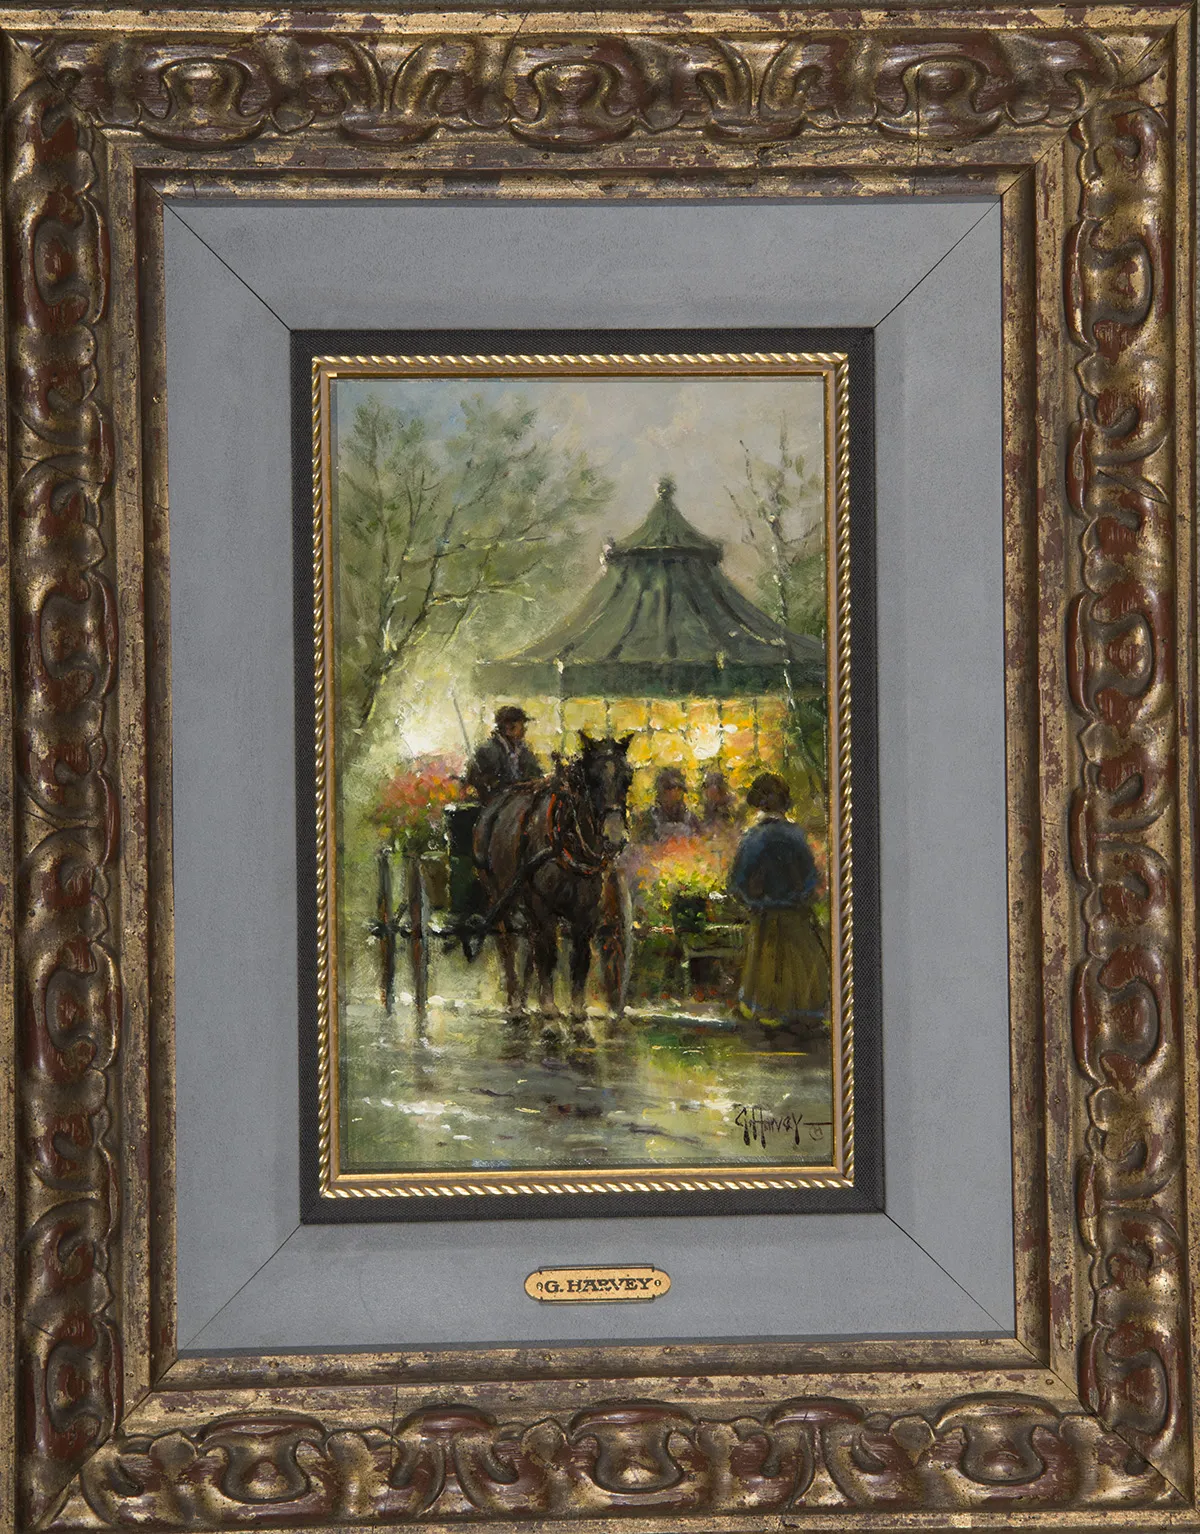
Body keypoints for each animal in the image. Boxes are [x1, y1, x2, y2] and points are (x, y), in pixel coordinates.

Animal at [473, 732, 634, 1029]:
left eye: (627, 777)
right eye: (592, 780)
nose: (615, 837)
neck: (567, 839)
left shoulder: (586, 913)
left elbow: (580, 958)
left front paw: (578, 1012)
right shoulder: (542, 907)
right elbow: (549, 953)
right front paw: (549, 1010)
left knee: (530, 945)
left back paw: (525, 1000)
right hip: (498, 895)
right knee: (508, 946)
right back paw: (515, 1003)